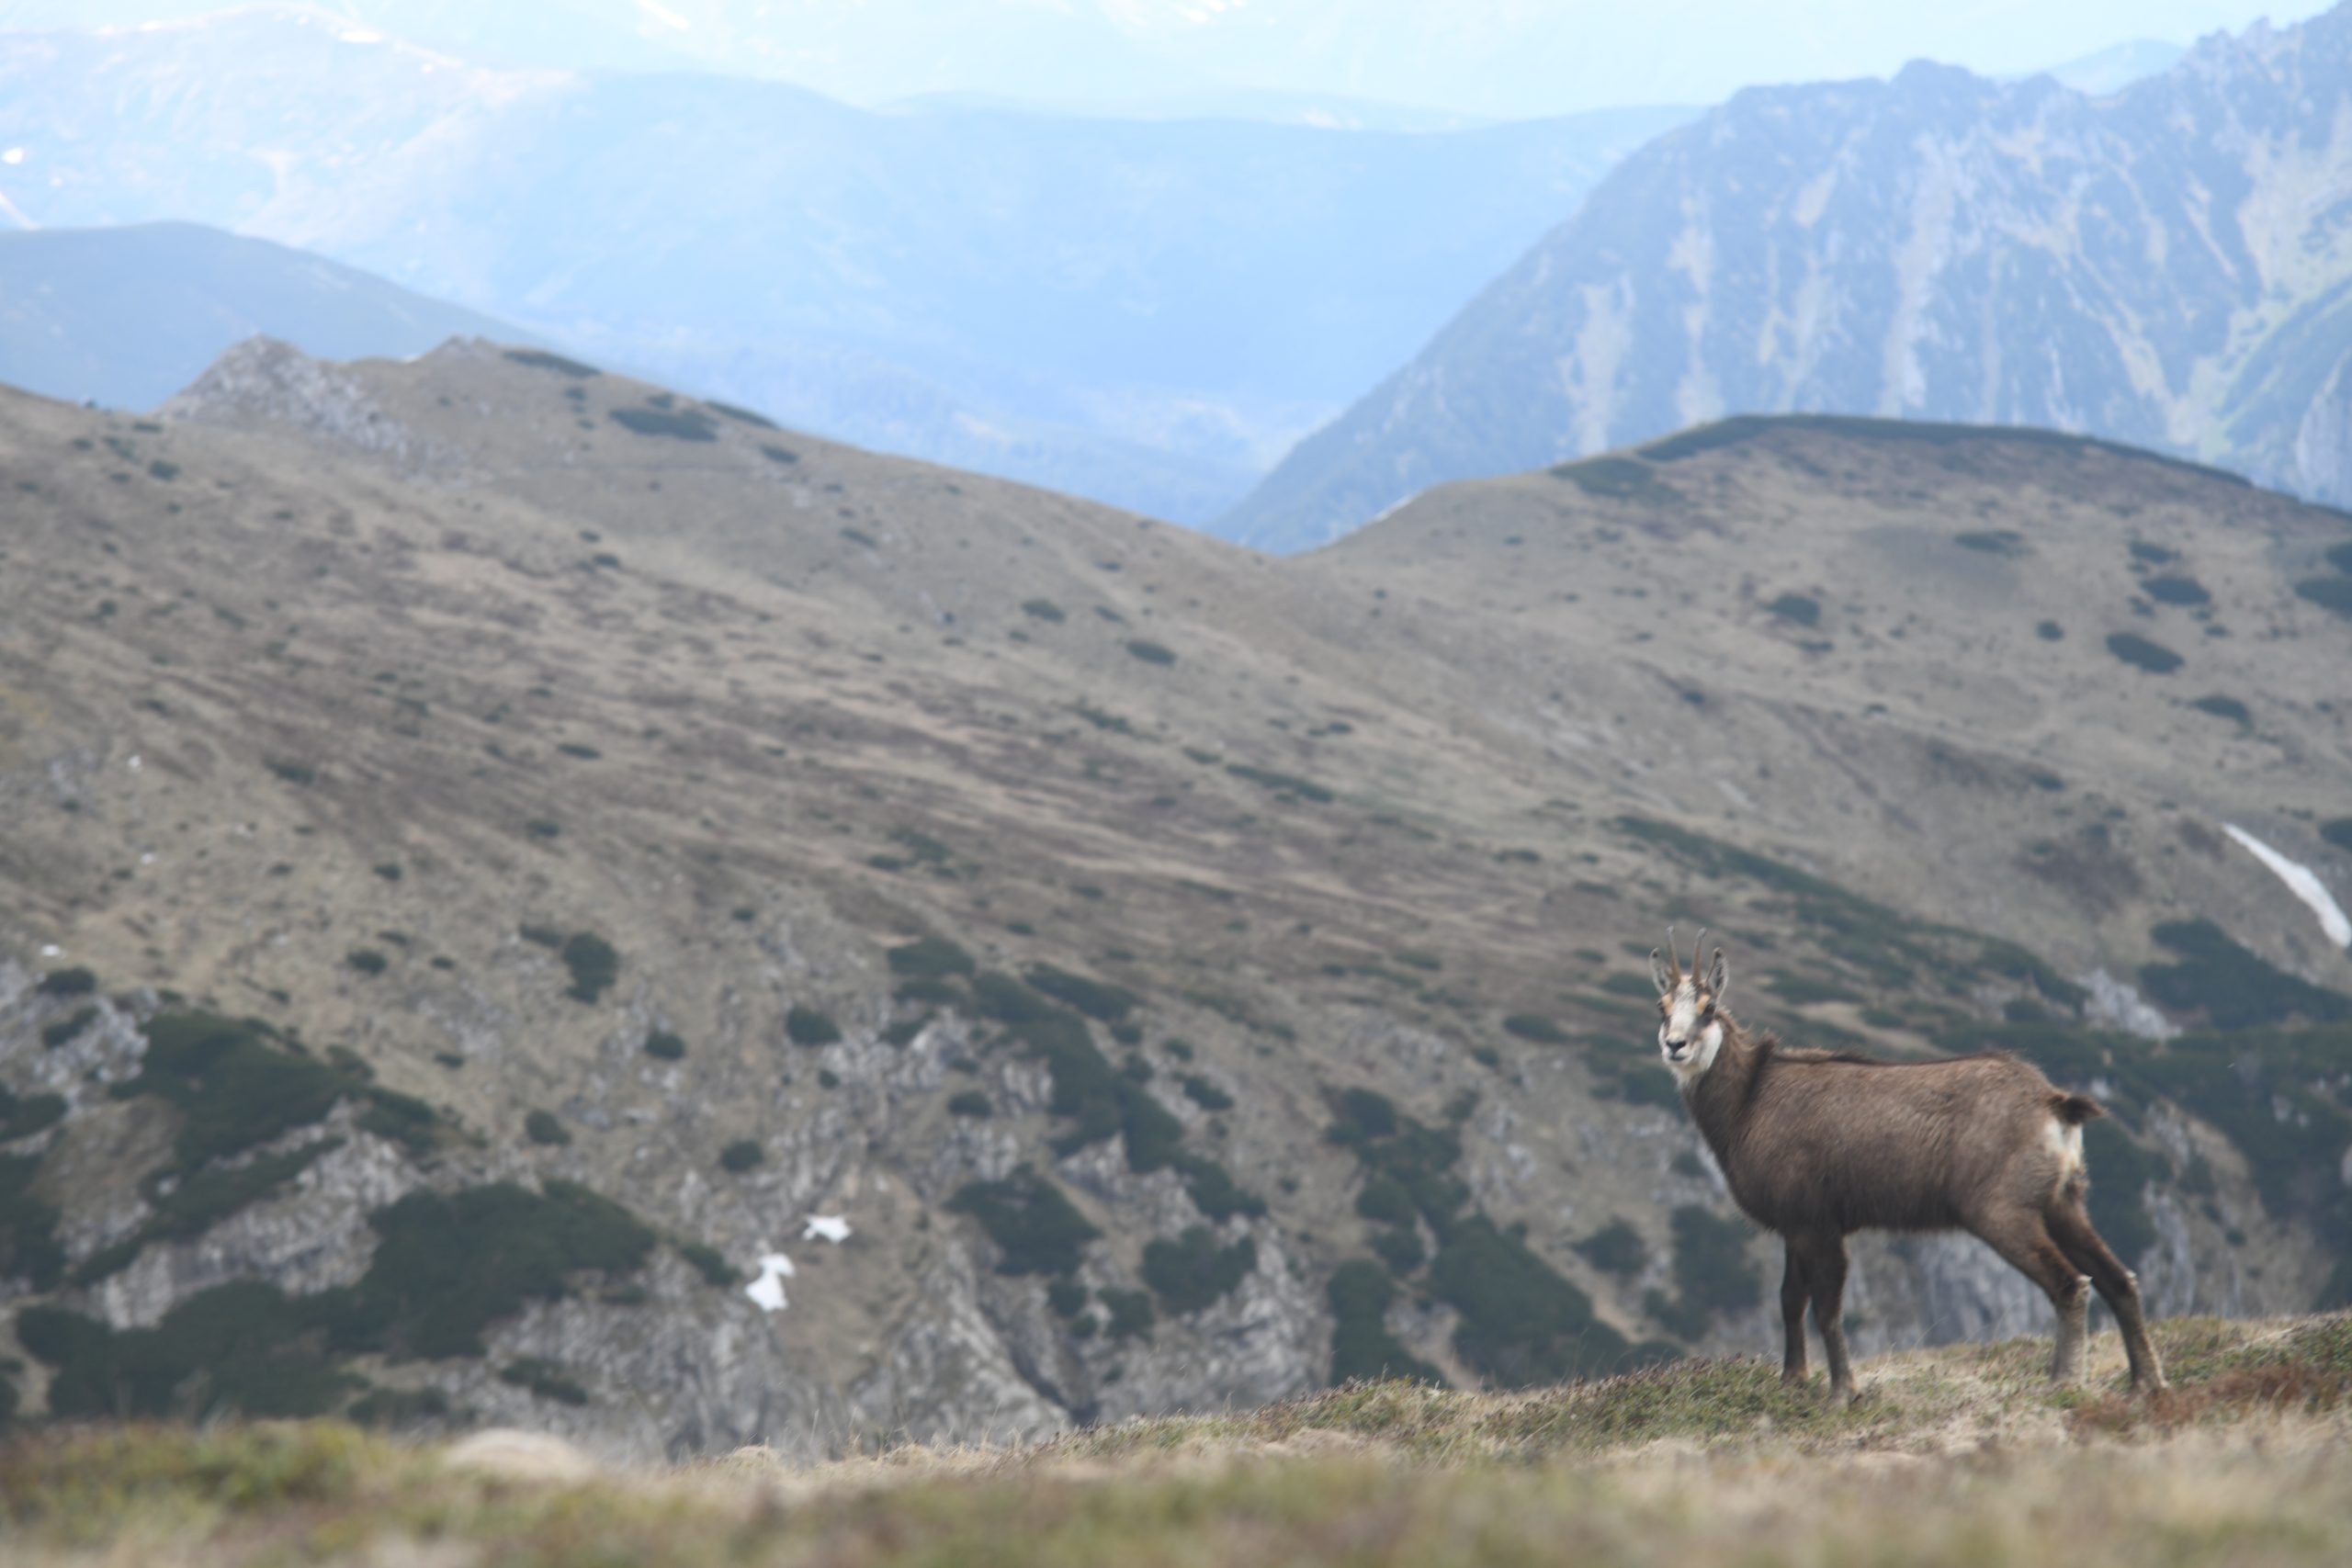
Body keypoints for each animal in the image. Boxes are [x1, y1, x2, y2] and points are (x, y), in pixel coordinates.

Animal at [1645, 928, 2166, 1400]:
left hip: (2002, 1211)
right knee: (2120, 1280)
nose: (1675, 1046)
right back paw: (2146, 1383)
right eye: (1662, 1007)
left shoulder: (1818, 1224)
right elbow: (1790, 1300)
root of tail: (2052, 1103)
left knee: (2070, 1284)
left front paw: (1844, 1392)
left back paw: (2064, 1382)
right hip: (2062, 1203)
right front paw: (1793, 1381)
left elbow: (1826, 1310)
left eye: (1708, 1008)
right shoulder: (1794, 1225)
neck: (1749, 1100)